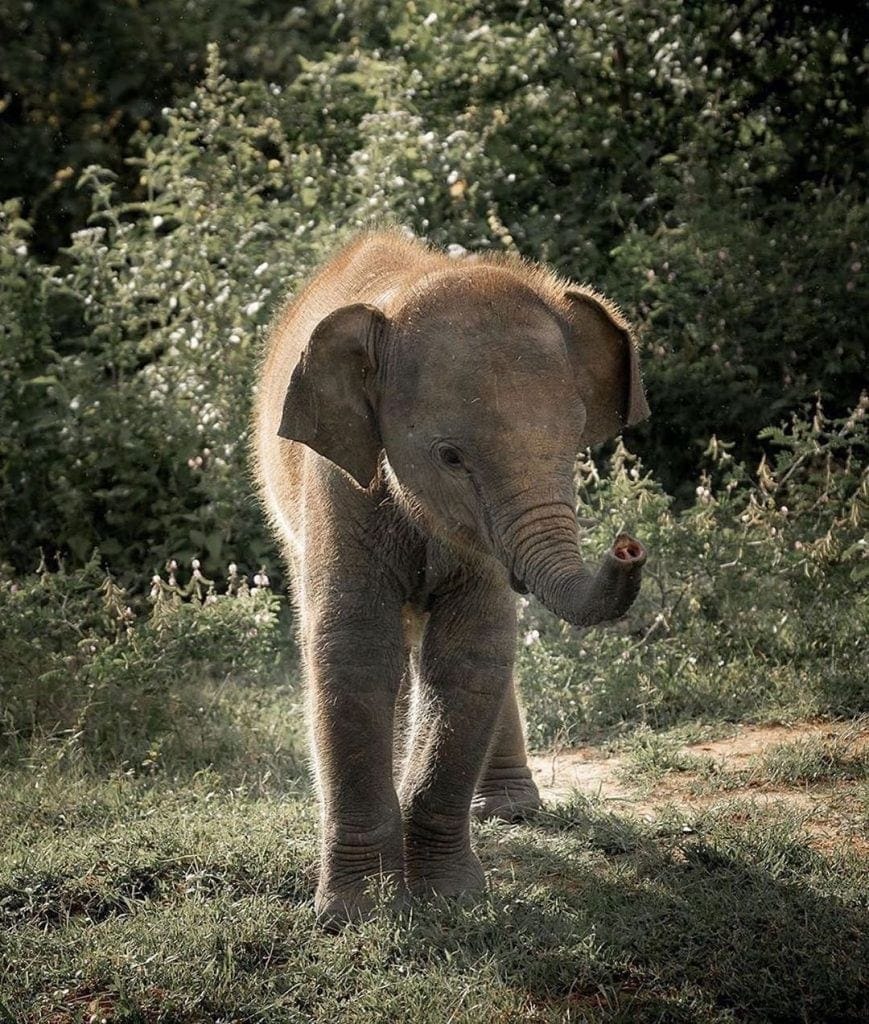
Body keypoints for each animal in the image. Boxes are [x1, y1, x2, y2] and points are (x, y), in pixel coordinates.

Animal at [250, 230, 642, 929]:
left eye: (575, 442)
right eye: (450, 457)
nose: (627, 547)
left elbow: (469, 656)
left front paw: (450, 898)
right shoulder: (338, 486)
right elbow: (353, 652)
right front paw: (361, 913)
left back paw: (511, 810)